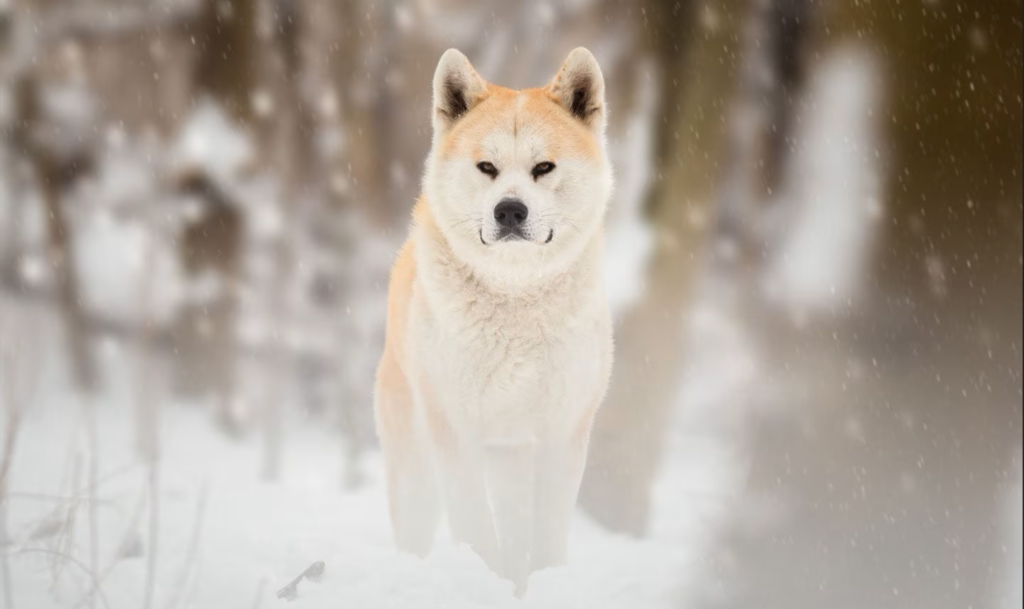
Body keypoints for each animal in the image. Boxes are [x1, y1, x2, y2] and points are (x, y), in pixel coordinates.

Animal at [376, 47, 610, 597]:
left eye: (543, 167)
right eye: (487, 167)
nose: (509, 211)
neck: (516, 297)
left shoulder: (564, 431)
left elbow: (546, 536)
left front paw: (544, 586)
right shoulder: (454, 430)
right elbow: (474, 528)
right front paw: (482, 581)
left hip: (511, 461)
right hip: (416, 468)